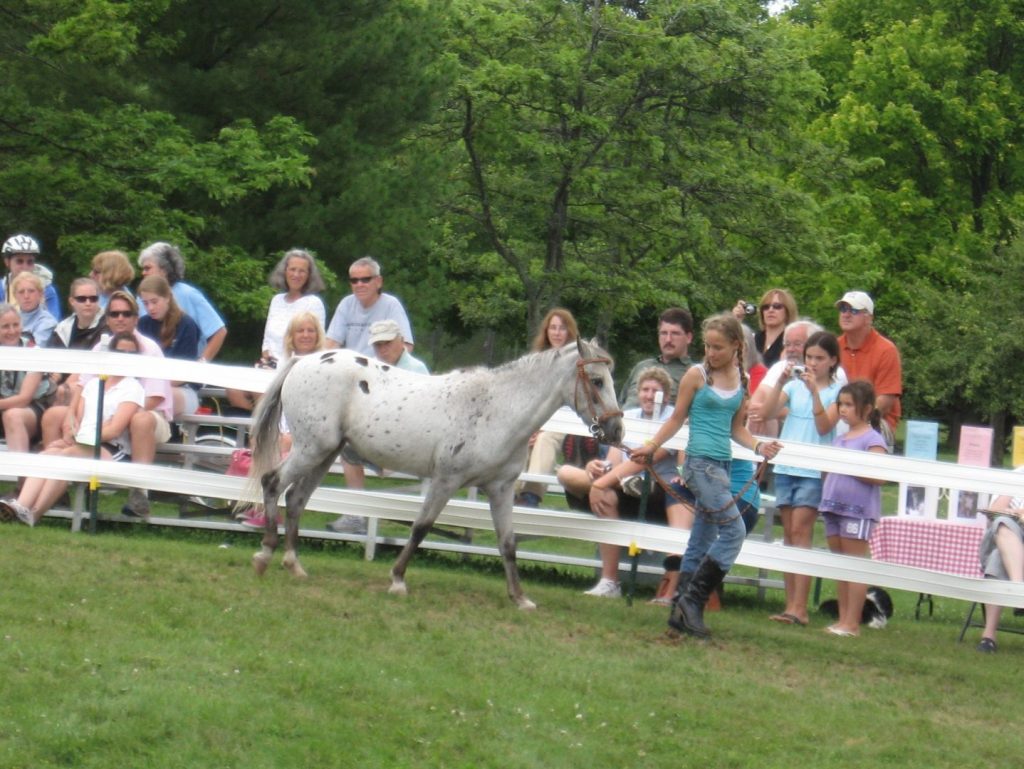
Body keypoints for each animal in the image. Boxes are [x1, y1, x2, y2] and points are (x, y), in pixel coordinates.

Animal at [243, 337, 623, 609]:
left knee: (296, 498)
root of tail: (303, 361)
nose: (616, 430)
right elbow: (421, 528)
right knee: (273, 483)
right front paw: (397, 580)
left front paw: (520, 598)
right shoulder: (446, 480)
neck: (498, 409)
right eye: (596, 380)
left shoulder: (500, 488)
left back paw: (293, 564)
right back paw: (264, 556)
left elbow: (508, 543)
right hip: (311, 449)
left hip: (324, 453)